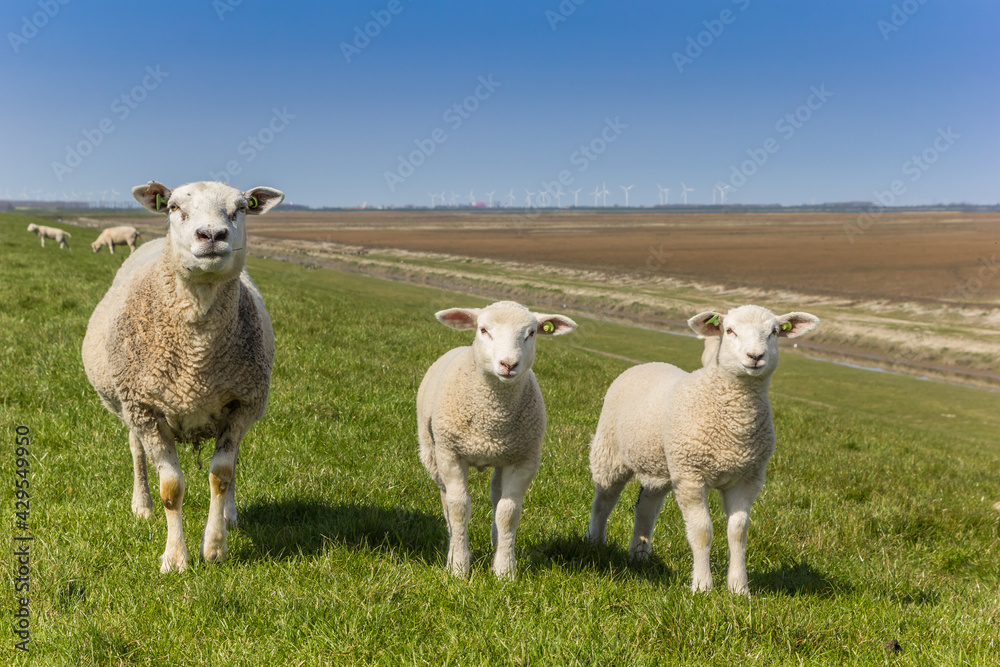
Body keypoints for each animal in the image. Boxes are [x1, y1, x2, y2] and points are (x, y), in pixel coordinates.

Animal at [81, 180, 284, 573]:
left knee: (234, 461)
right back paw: (142, 505)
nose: (212, 235)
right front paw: (175, 558)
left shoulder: (242, 405)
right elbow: (172, 488)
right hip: (129, 407)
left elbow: (222, 476)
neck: (196, 360)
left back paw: (231, 514)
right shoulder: (145, 409)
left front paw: (215, 548)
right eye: (174, 207)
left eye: (241, 208)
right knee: (136, 452)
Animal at [417, 300, 577, 578]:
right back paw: (452, 543)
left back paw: (496, 542)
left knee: (495, 494)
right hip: (432, 453)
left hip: (504, 455)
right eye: (483, 329)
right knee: (445, 497)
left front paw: (504, 569)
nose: (509, 364)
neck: (491, 421)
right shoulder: (450, 453)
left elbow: (508, 512)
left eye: (531, 333)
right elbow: (458, 507)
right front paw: (459, 566)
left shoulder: (524, 459)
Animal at [586, 305, 819, 594]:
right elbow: (702, 531)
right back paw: (595, 543)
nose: (755, 356)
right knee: (604, 501)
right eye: (729, 330)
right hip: (610, 452)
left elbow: (738, 532)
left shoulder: (748, 478)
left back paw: (639, 554)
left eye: (774, 332)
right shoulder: (691, 476)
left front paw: (739, 588)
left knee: (646, 507)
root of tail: (649, 364)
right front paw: (702, 586)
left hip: (662, 464)